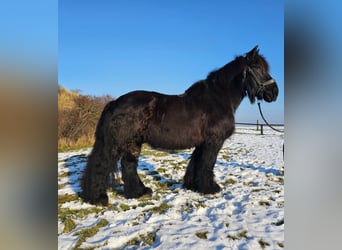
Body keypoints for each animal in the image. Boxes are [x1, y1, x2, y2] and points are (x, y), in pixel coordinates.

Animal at [80, 46, 278, 205]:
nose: (274, 92)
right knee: (101, 164)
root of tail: (114, 103)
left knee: (129, 165)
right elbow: (208, 163)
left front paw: (193, 185)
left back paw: (139, 192)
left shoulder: (202, 143)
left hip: (133, 142)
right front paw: (210, 188)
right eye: (257, 67)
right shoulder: (213, 141)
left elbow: (196, 162)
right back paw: (98, 197)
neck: (218, 98)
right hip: (118, 142)